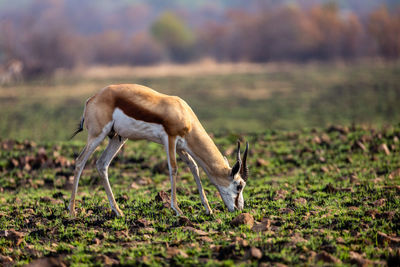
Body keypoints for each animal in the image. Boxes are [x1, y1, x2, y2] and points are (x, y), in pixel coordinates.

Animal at [70, 85, 248, 217]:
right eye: (239, 185)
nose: (239, 209)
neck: (184, 113)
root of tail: (91, 99)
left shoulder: (181, 146)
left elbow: (194, 167)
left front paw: (208, 208)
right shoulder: (170, 139)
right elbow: (173, 169)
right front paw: (177, 209)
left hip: (118, 138)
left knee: (102, 164)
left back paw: (118, 211)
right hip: (97, 135)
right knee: (80, 161)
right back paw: (72, 211)